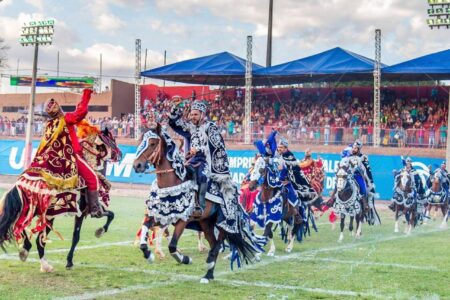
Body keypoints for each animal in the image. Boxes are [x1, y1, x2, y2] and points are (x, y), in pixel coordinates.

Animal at [0, 126, 121, 272]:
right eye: (112, 141)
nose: (120, 154)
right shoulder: (87, 212)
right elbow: (79, 235)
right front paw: (70, 260)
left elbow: (110, 215)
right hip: (48, 216)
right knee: (37, 239)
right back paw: (44, 264)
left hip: (31, 211)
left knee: (19, 227)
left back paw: (26, 251)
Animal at [132, 124, 262, 284]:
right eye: (140, 142)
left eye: (152, 143)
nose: (137, 165)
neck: (172, 184)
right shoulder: (161, 215)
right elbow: (145, 231)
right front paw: (149, 255)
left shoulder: (183, 219)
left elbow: (172, 246)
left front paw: (185, 259)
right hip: (206, 224)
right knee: (213, 244)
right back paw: (209, 274)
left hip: (222, 224)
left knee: (217, 246)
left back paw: (207, 272)